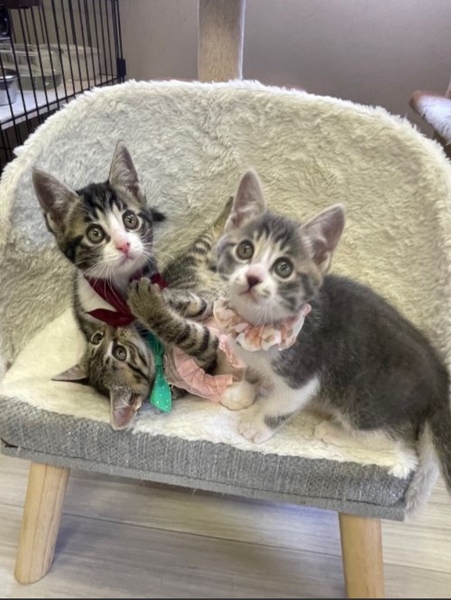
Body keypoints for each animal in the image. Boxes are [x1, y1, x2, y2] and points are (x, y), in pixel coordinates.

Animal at [213, 168, 451, 512]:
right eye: (245, 250)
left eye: (283, 268)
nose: (253, 278)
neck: (259, 323)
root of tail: (439, 379)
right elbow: (252, 370)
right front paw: (243, 392)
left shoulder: (304, 375)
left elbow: (281, 405)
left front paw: (256, 424)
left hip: (366, 399)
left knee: (392, 441)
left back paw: (335, 431)